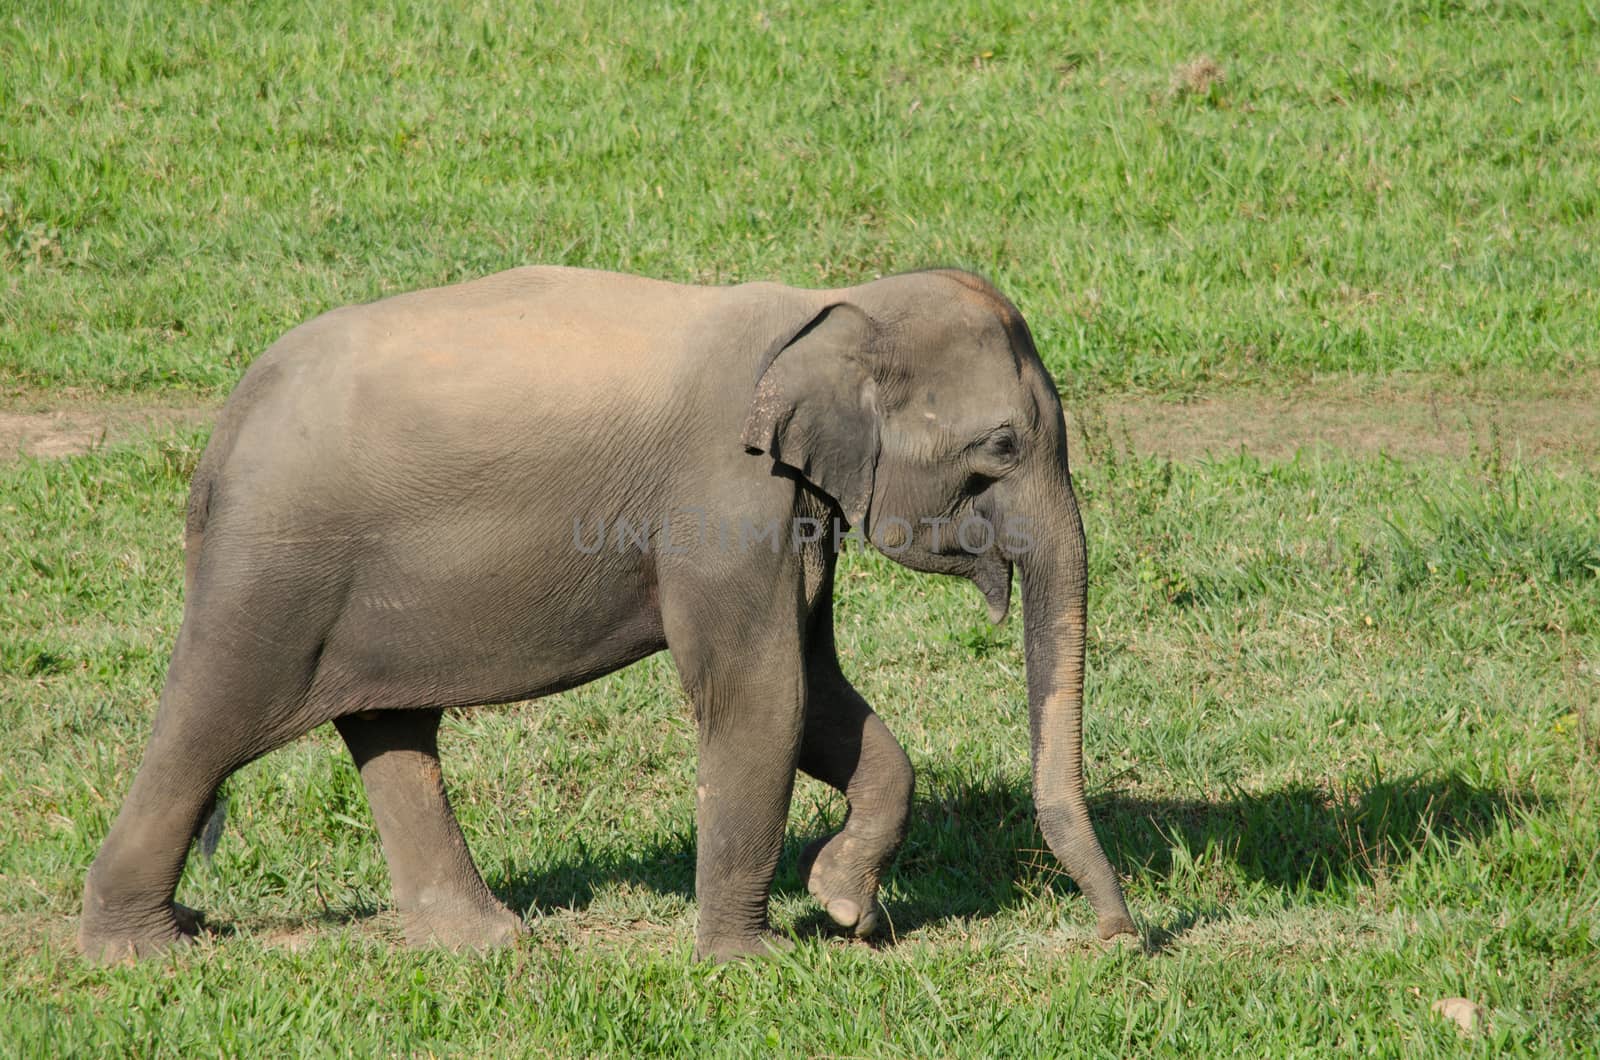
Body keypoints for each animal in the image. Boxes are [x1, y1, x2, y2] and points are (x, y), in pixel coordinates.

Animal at [78, 265, 1139, 960]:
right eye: (1001, 445)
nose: (1119, 940)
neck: (830, 302)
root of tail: (224, 430)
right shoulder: (722, 500)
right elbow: (762, 697)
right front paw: (753, 963)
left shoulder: (794, 507)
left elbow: (821, 695)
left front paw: (843, 907)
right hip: (275, 568)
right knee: (210, 721)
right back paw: (144, 952)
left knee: (389, 727)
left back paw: (485, 943)